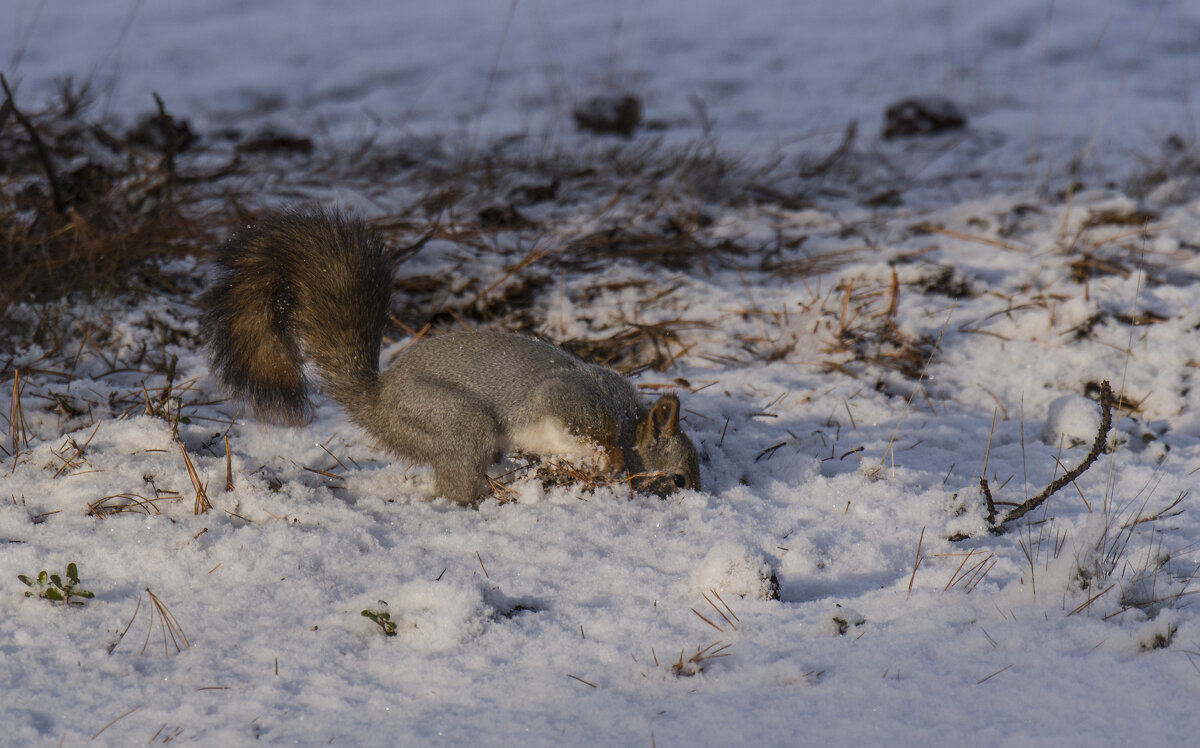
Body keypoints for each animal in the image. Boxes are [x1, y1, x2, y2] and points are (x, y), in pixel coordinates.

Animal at [200, 207, 700, 506]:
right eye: (678, 478)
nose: (692, 501)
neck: (627, 420)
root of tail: (378, 402)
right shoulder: (572, 401)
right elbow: (583, 426)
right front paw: (609, 459)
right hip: (451, 421)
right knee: (455, 483)